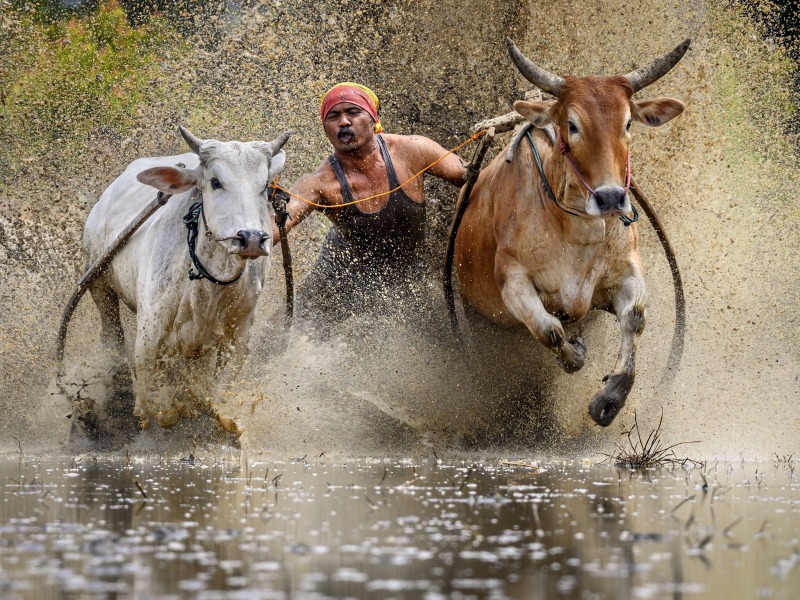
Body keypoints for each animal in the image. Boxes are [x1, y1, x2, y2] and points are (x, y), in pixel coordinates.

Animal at [83, 126, 290, 432]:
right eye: (215, 182)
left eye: (265, 185)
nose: (251, 239)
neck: (211, 284)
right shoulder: (149, 336)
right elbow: (151, 400)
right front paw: (147, 416)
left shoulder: (239, 337)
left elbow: (219, 391)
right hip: (98, 282)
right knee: (111, 334)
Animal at [454, 37, 692, 426]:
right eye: (572, 125)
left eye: (628, 122)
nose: (610, 198)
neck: (577, 232)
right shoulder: (512, 281)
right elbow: (550, 330)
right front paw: (576, 352)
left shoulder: (627, 270)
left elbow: (636, 318)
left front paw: (610, 398)